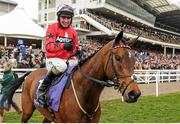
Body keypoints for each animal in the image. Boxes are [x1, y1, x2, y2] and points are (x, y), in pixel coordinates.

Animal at [11, 30, 141, 122]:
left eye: (134, 59)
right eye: (118, 58)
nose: (134, 93)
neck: (85, 95)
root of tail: (31, 73)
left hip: (48, 116)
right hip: (27, 110)